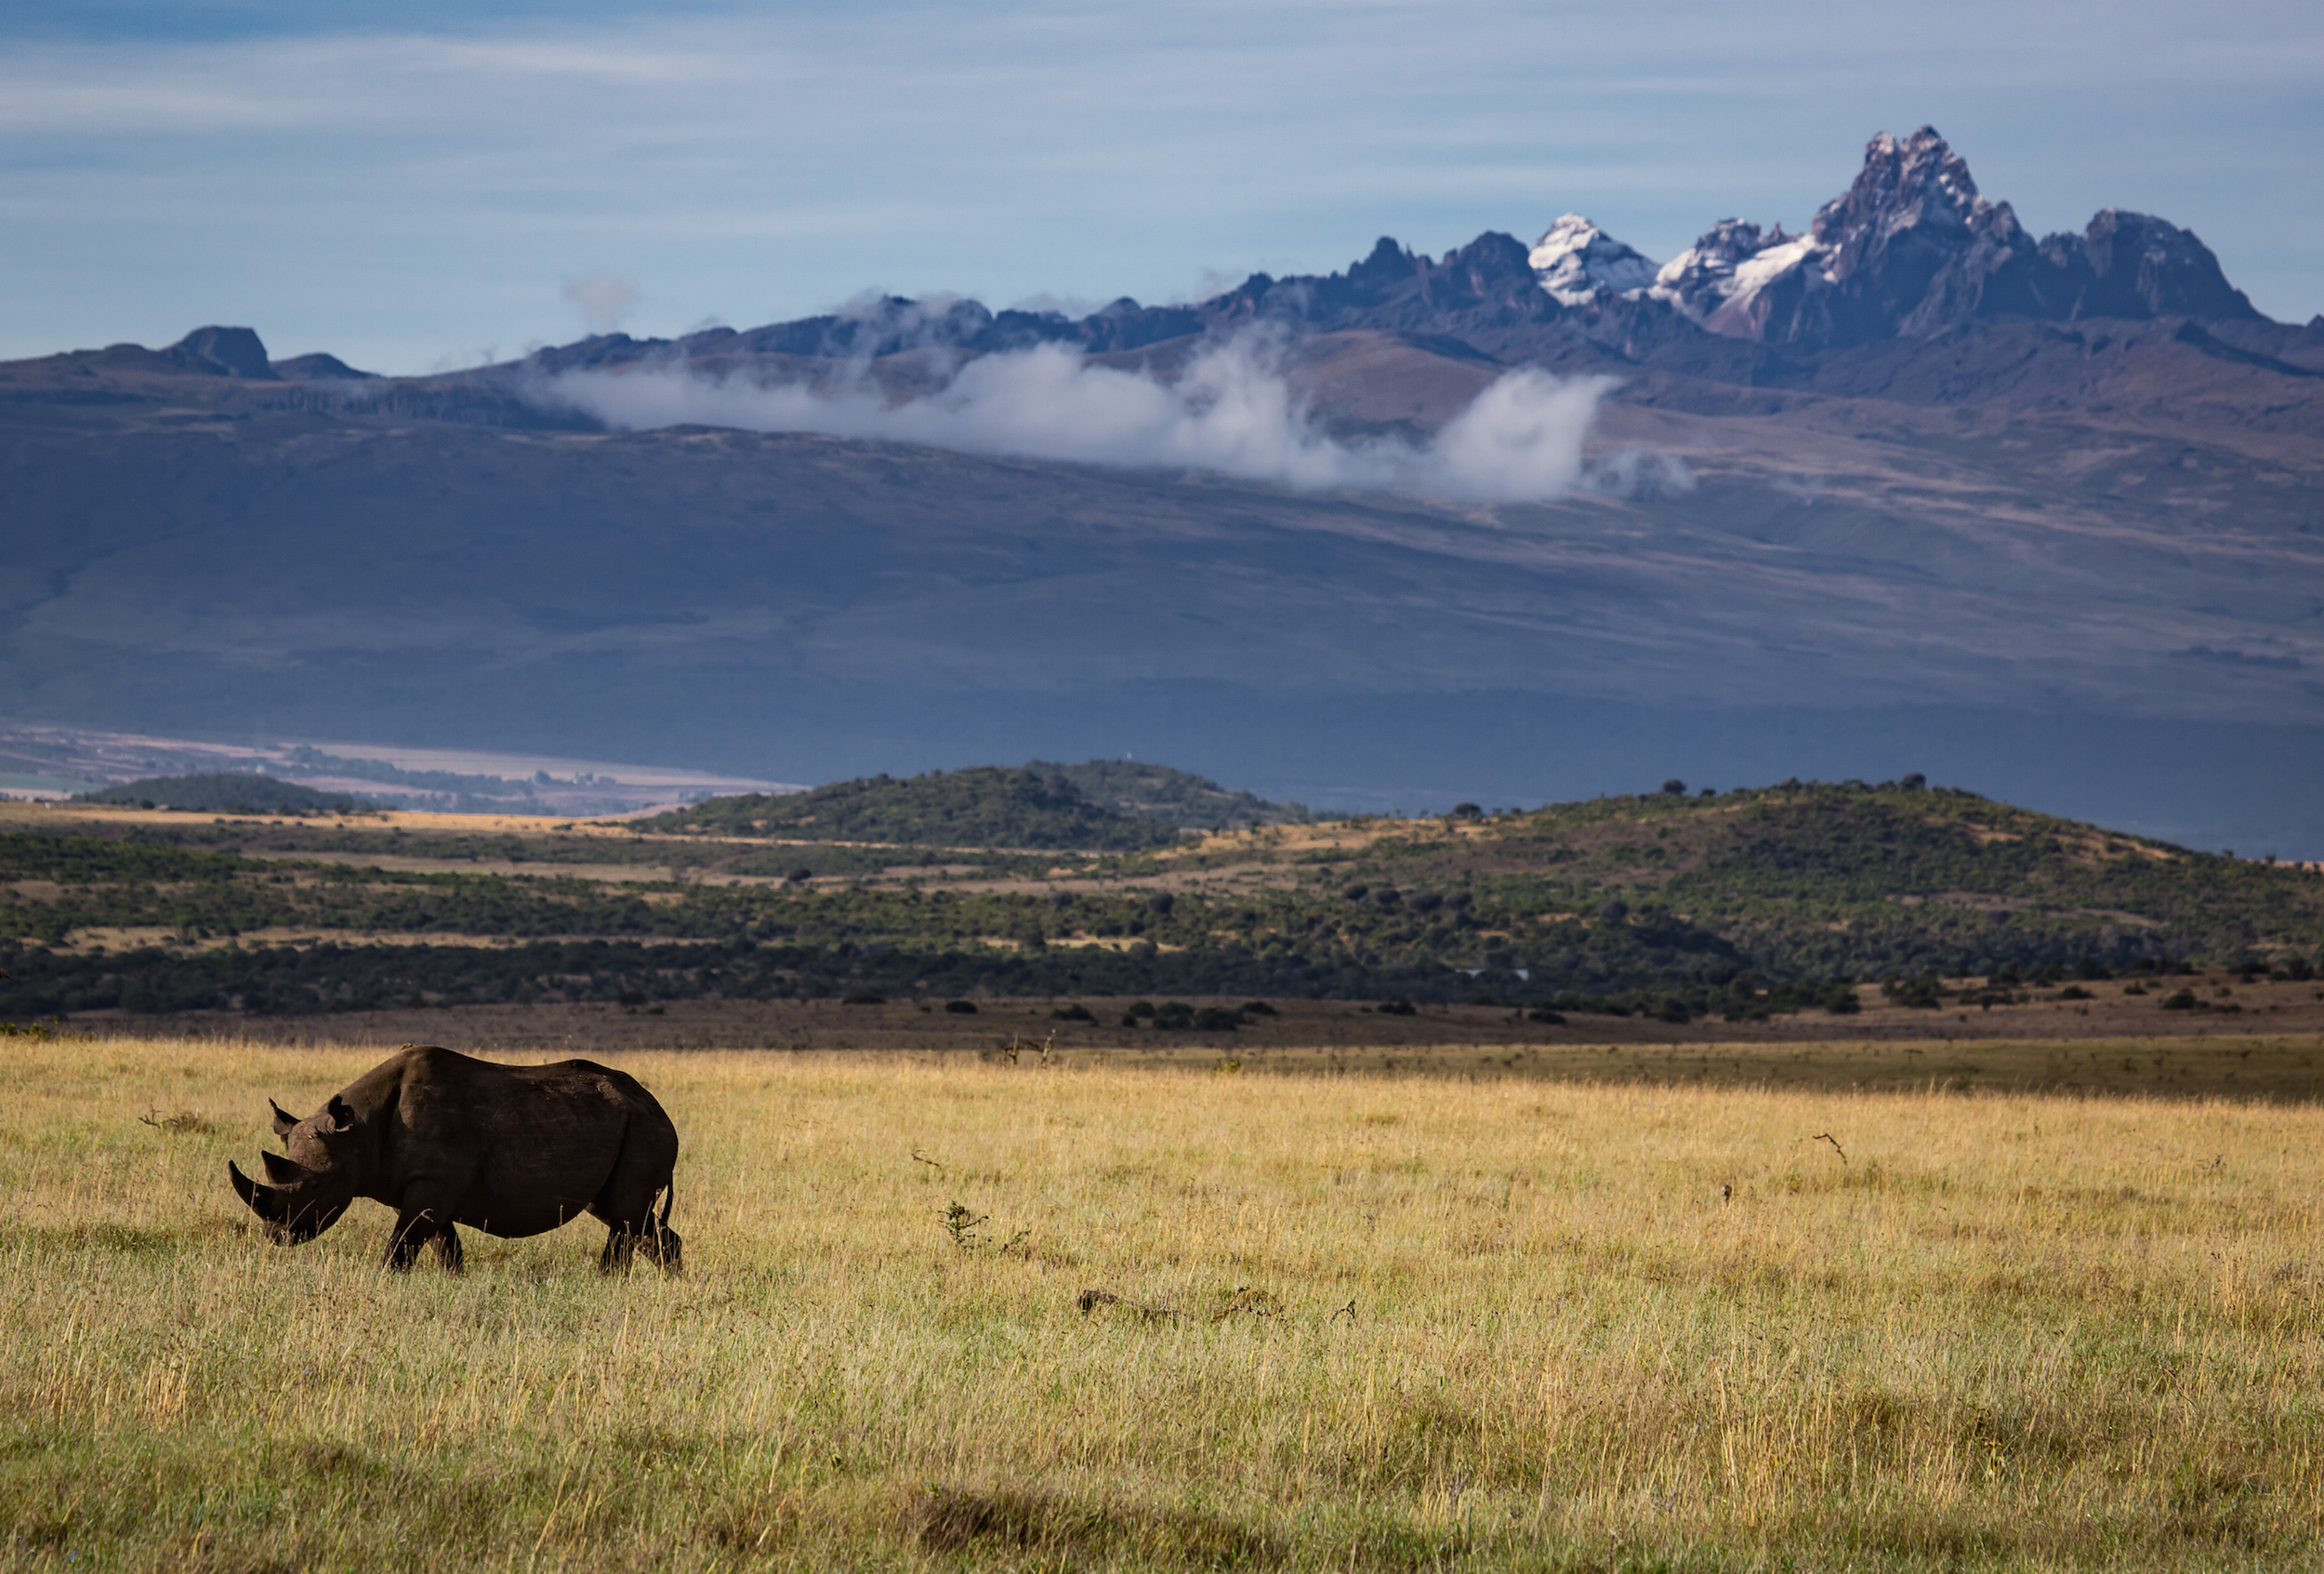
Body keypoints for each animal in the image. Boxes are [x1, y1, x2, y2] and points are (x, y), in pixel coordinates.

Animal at [225, 1041, 679, 1274]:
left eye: (317, 1186)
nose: (276, 1236)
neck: (357, 1132)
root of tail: (658, 1105)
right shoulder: (425, 1187)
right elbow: (444, 1248)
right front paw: (452, 1281)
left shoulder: (432, 1184)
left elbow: (399, 1248)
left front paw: (384, 1281)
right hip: (624, 1125)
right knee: (622, 1214)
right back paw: (661, 1280)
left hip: (645, 1129)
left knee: (625, 1215)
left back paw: (611, 1281)